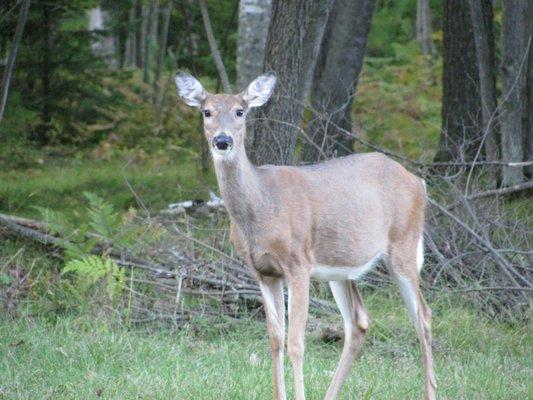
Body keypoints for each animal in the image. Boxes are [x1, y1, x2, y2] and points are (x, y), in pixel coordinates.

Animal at [175, 72, 436, 400]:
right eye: (206, 111)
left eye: (240, 111)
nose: (222, 141)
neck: (261, 206)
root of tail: (419, 182)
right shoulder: (263, 271)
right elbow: (275, 338)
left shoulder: (297, 263)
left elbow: (296, 342)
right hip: (341, 267)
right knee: (358, 322)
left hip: (403, 244)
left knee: (423, 316)